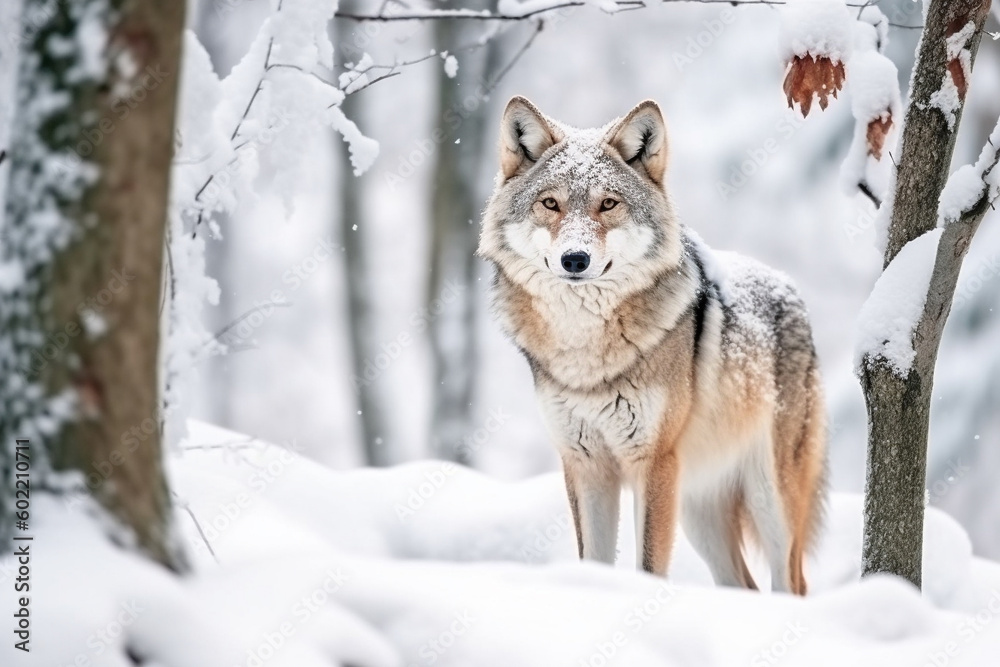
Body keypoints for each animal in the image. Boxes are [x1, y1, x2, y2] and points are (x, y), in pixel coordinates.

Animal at [477, 97, 826, 594]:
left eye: (608, 204)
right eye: (550, 203)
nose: (575, 260)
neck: (587, 351)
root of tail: (789, 287)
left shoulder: (652, 462)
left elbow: (648, 565)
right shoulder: (585, 466)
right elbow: (593, 560)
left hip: (768, 498)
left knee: (790, 583)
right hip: (699, 510)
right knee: (743, 585)